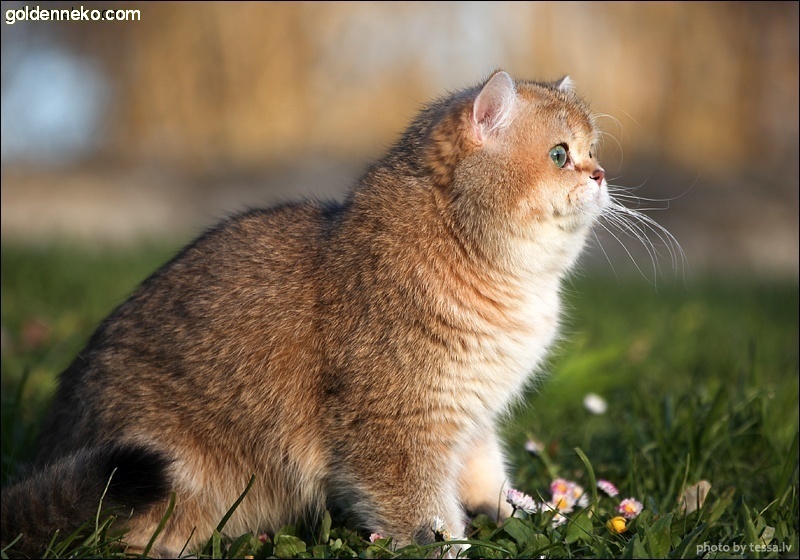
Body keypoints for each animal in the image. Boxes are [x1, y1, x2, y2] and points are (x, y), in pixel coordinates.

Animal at [3, 70, 608, 556]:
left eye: (594, 151)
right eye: (560, 154)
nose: (601, 176)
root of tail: (46, 455)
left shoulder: (471, 419)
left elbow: (488, 482)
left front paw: (530, 513)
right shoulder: (394, 432)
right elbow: (426, 518)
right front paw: (457, 549)